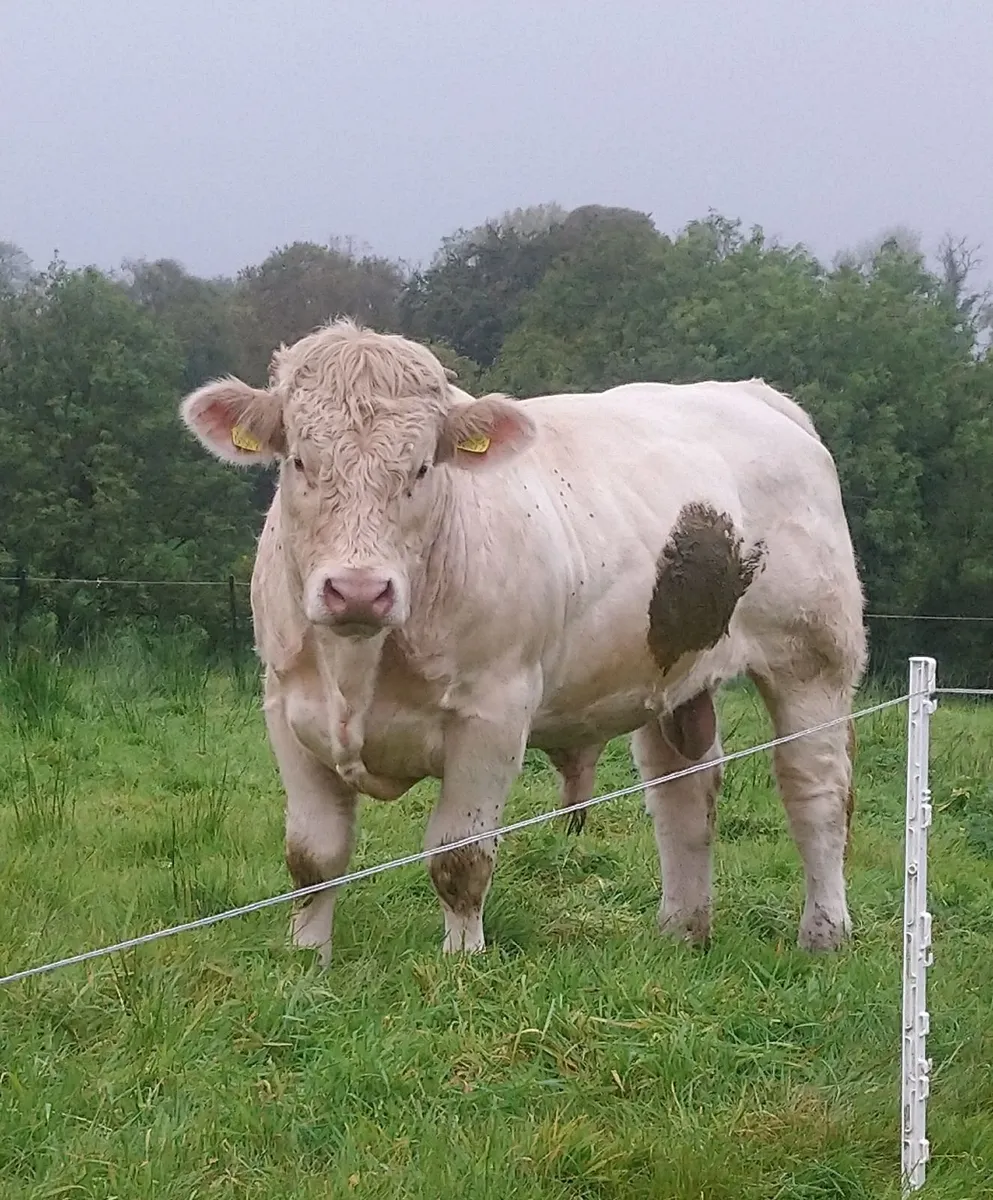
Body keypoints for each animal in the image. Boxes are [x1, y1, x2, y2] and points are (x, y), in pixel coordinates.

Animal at [180, 319, 866, 964]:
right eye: (299, 460)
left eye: (423, 467)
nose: (356, 590)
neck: (358, 667)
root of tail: (755, 396)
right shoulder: (289, 712)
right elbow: (313, 859)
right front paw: (308, 962)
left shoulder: (493, 714)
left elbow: (458, 858)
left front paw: (461, 965)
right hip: (668, 671)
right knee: (682, 792)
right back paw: (680, 932)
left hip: (813, 659)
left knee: (816, 790)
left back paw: (824, 935)